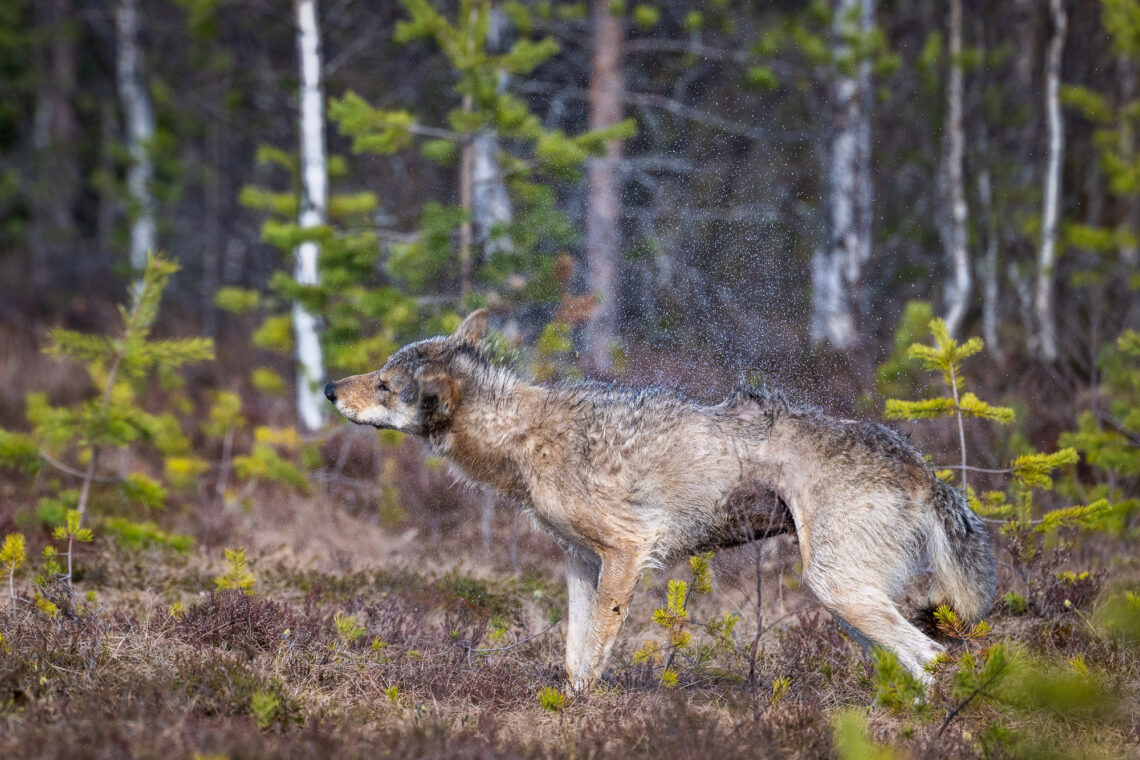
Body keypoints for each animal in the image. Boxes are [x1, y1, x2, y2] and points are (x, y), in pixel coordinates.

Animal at [319, 312, 989, 692]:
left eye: (384, 384)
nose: (326, 387)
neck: (517, 434)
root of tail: (924, 470)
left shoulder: (627, 551)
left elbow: (594, 655)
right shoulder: (580, 563)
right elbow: (573, 656)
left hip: (837, 589)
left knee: (935, 659)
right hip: (851, 606)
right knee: (922, 660)